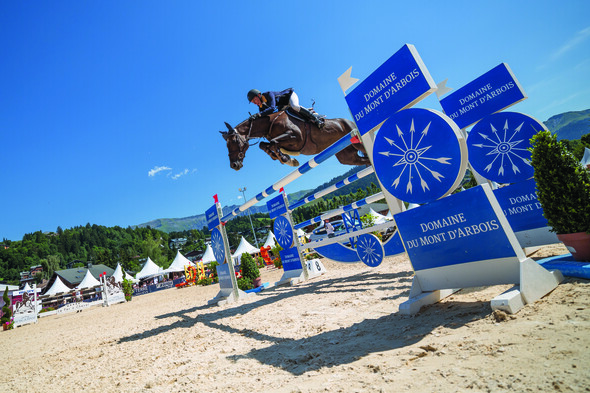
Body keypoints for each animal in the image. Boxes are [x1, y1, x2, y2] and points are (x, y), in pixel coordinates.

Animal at [222, 110, 370, 172]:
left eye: (234, 141)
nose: (234, 165)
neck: (270, 123)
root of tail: (350, 121)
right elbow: (264, 145)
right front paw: (283, 158)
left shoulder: (296, 138)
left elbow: (273, 142)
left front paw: (286, 158)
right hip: (346, 155)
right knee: (362, 160)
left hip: (357, 142)